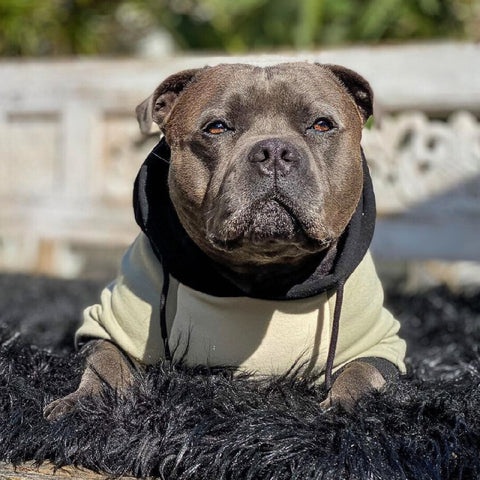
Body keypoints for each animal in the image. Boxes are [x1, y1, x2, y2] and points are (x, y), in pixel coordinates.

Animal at [44, 62, 404, 420]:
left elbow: (361, 372)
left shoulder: (380, 344)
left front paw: (348, 407)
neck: (264, 274)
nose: (274, 151)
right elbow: (106, 361)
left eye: (322, 125)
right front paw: (85, 402)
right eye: (216, 128)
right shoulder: (111, 325)